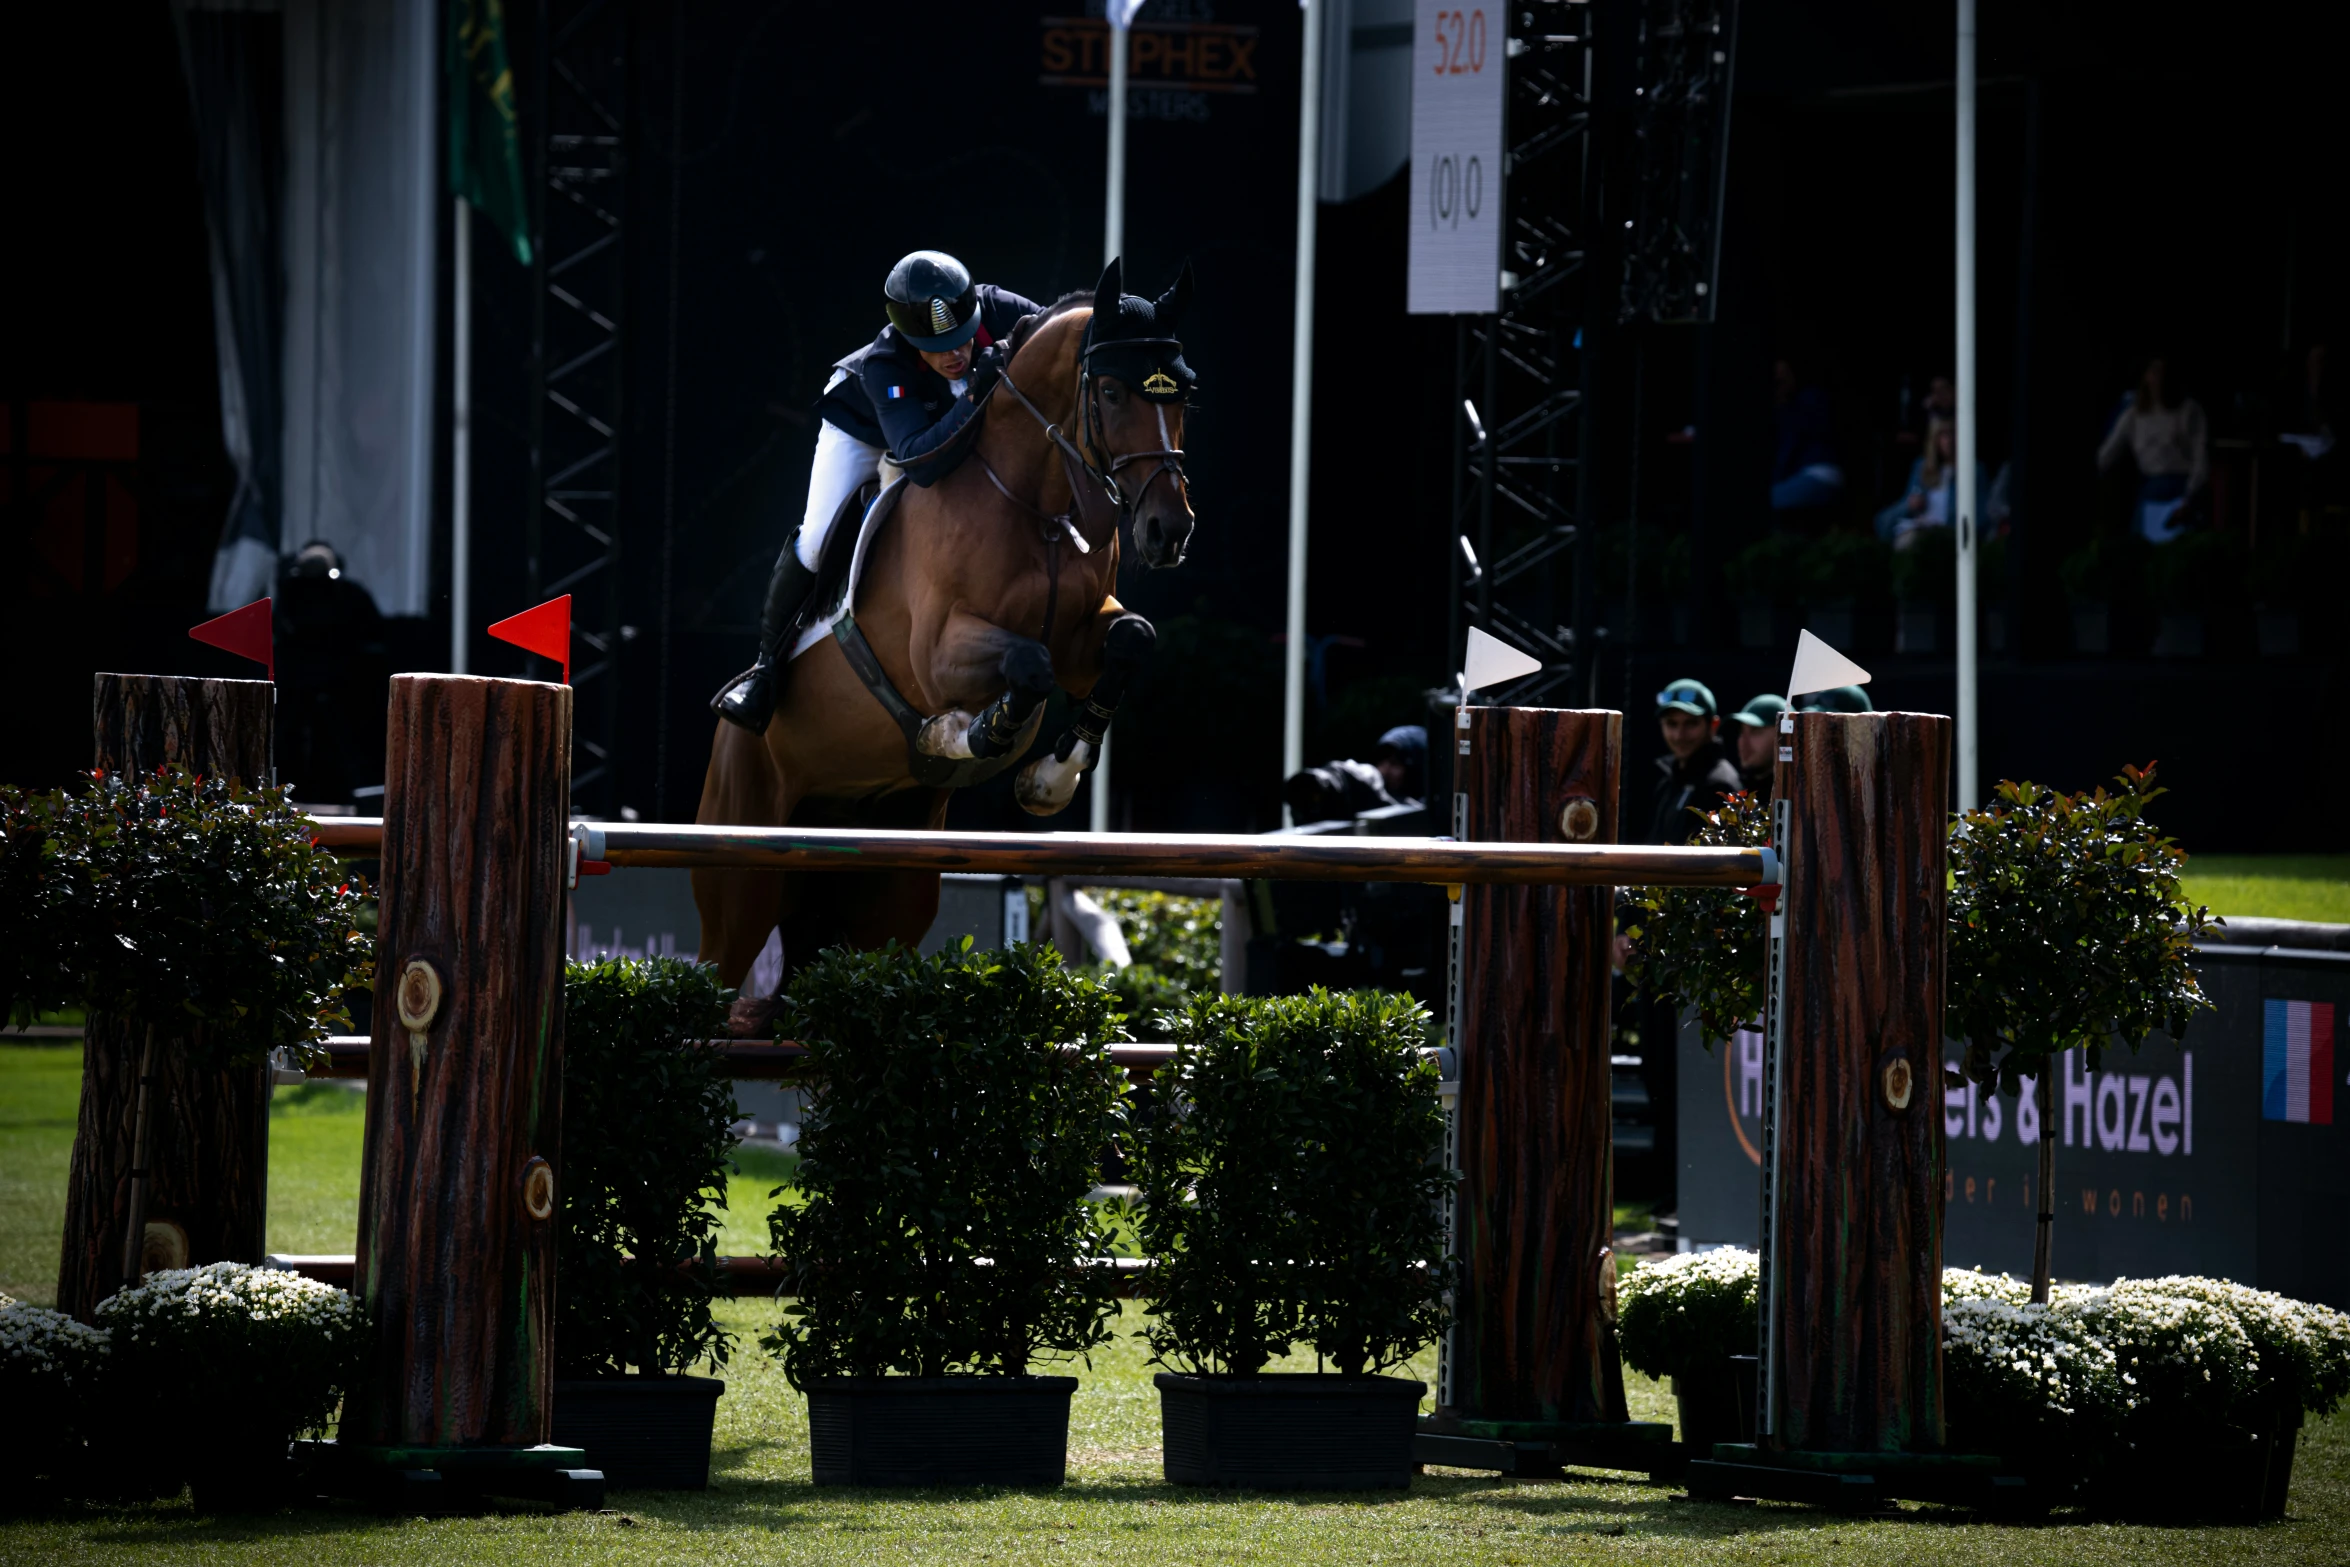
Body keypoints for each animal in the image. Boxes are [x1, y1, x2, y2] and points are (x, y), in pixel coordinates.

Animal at [681, 261, 1193, 1010]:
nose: (1168, 530)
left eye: (1184, 392)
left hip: (886, 892)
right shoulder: (938, 656)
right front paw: (966, 734)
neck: (1032, 500)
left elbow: (1131, 637)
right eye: (1110, 390)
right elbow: (1027, 664)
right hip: (742, 868)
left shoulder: (1082, 638)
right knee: (716, 960)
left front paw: (1053, 775)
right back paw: (754, 694)